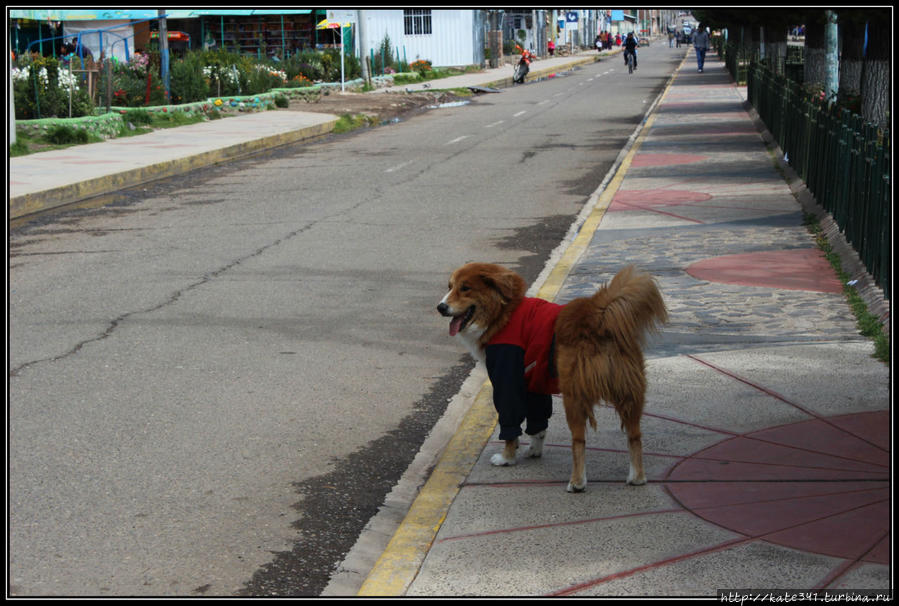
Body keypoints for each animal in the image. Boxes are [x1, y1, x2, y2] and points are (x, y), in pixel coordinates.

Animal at [440, 264, 664, 492]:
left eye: (465, 288)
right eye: (450, 287)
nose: (440, 307)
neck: (504, 313)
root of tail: (599, 316)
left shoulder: (507, 376)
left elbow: (510, 421)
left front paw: (507, 457)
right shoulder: (533, 383)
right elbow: (538, 422)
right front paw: (534, 449)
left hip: (575, 396)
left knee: (579, 440)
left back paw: (577, 482)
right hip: (630, 392)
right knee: (634, 436)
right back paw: (637, 477)